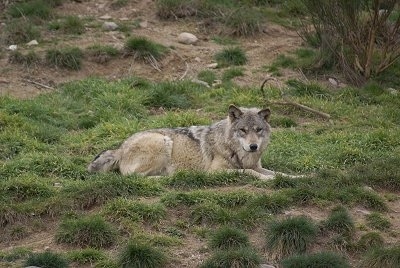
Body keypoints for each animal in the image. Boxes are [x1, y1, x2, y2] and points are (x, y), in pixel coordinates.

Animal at [88, 104, 290, 180]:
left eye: (258, 130)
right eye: (243, 130)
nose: (253, 146)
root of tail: (120, 148)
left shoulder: (257, 165)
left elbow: (279, 173)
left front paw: (295, 177)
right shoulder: (214, 172)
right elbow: (248, 172)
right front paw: (266, 179)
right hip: (163, 141)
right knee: (133, 177)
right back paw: (167, 177)